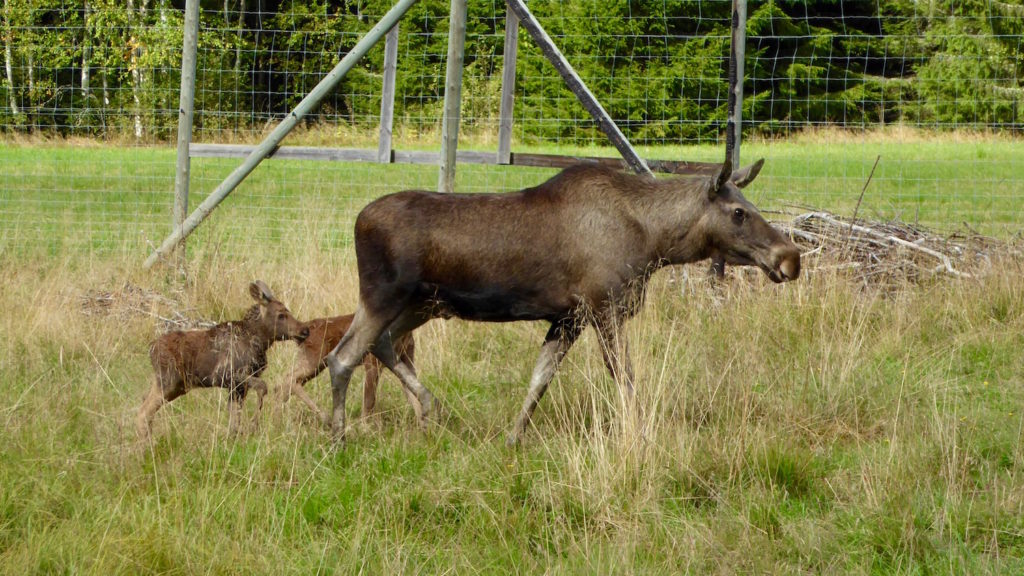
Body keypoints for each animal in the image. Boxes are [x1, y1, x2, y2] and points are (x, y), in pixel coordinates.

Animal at [138, 280, 309, 436]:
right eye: (281, 315)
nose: (304, 330)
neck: (259, 341)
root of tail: (151, 349)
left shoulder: (237, 386)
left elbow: (234, 417)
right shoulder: (227, 375)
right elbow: (263, 387)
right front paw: (253, 425)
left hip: (177, 386)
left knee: (145, 403)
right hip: (168, 381)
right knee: (144, 411)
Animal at [280, 311, 415, 424]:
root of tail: (305, 328)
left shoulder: (407, 358)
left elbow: (414, 397)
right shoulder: (372, 363)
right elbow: (369, 401)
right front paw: (364, 429)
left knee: (286, 383)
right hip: (314, 362)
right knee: (288, 379)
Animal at [325, 153, 798, 444]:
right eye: (739, 213)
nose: (790, 257)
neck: (656, 243)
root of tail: (357, 221)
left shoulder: (569, 317)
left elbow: (539, 379)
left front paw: (514, 437)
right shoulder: (604, 308)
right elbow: (624, 379)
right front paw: (639, 435)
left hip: (420, 304)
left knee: (380, 345)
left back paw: (429, 408)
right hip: (384, 295)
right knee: (343, 356)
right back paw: (338, 437)